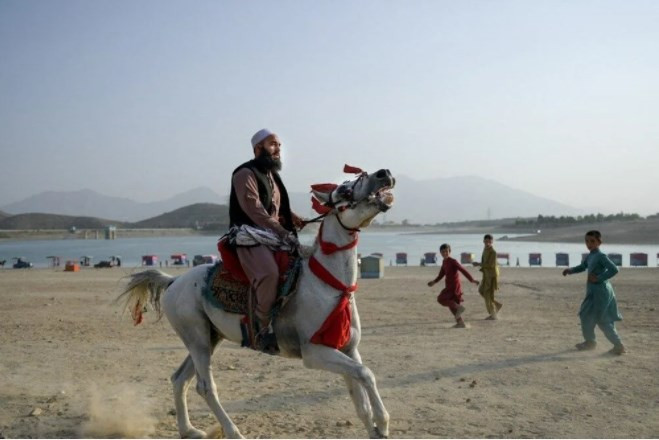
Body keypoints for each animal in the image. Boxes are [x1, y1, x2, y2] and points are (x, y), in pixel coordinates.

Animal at [118, 167, 394, 438]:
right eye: (344, 189)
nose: (384, 174)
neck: (327, 283)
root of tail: (173, 281)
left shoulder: (347, 348)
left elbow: (360, 396)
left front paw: (376, 428)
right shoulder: (313, 352)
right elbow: (366, 374)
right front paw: (383, 424)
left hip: (209, 337)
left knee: (179, 378)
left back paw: (189, 430)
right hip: (197, 338)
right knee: (204, 386)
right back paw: (233, 432)